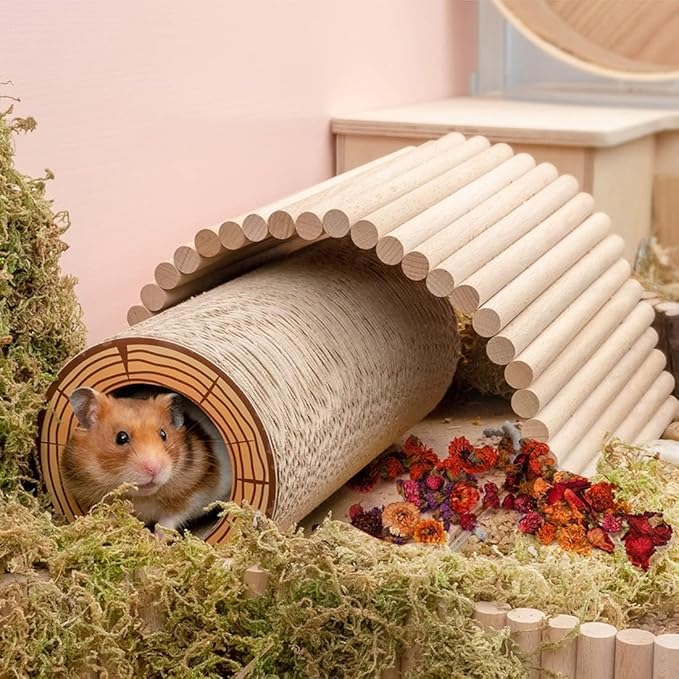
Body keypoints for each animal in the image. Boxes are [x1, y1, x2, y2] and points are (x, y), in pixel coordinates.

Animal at [61, 387, 232, 532]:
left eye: (163, 434)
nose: (154, 469)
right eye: (121, 437)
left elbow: (169, 521)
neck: (142, 497)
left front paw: (157, 541)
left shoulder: (196, 492)